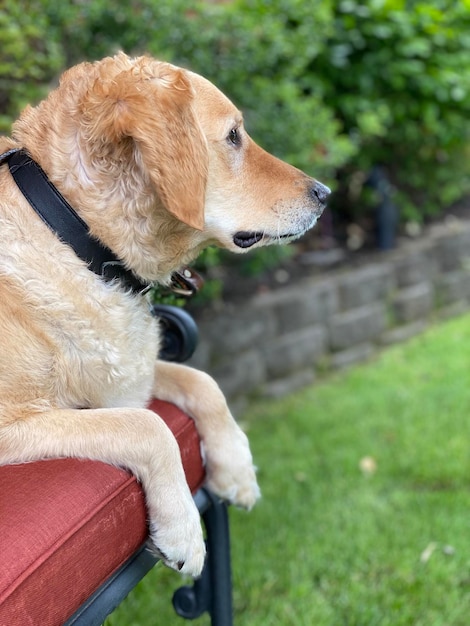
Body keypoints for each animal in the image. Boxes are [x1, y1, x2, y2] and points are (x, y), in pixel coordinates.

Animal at [0, 53, 330, 576]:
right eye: (233, 136)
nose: (325, 193)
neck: (79, 243)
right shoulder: (16, 421)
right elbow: (147, 426)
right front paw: (184, 532)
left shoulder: (131, 378)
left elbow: (203, 382)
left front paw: (235, 468)